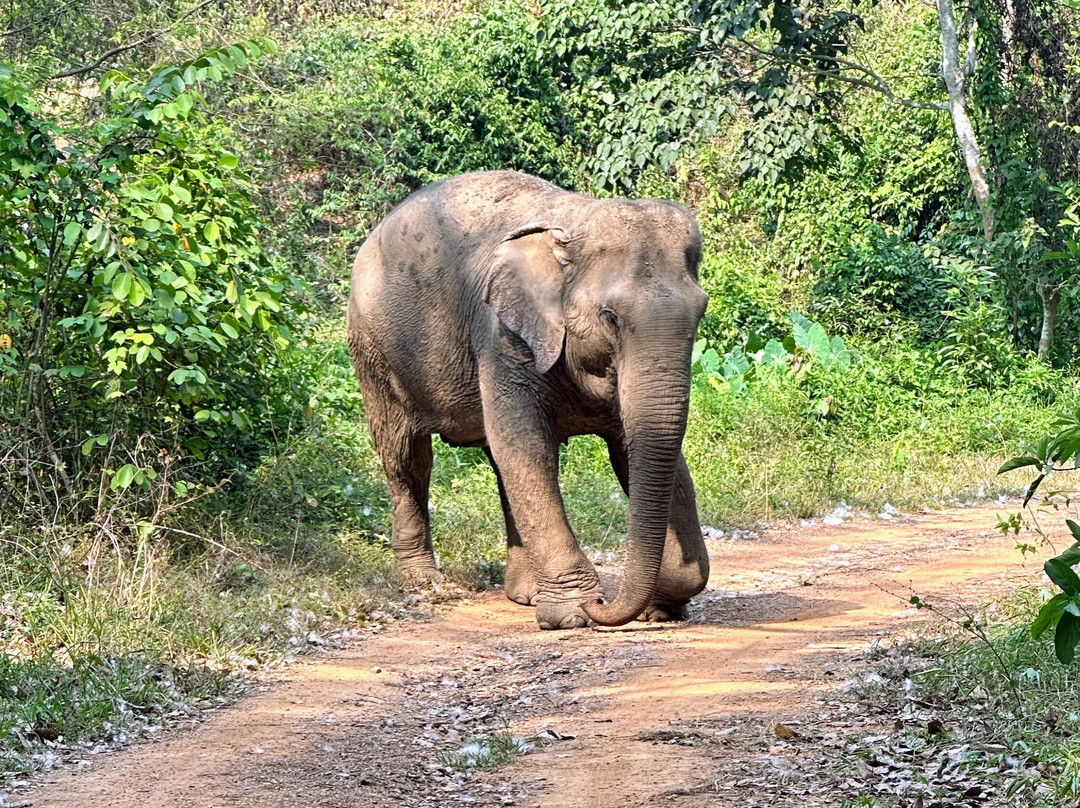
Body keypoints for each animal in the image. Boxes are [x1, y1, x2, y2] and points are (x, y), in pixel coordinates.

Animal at [346, 170, 710, 629]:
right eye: (609, 317)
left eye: (700, 313)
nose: (603, 603)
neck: (573, 220)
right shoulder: (502, 337)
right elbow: (529, 447)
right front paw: (574, 614)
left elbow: (635, 451)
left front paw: (660, 608)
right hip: (373, 351)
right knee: (407, 457)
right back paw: (426, 582)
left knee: (498, 465)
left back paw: (526, 593)